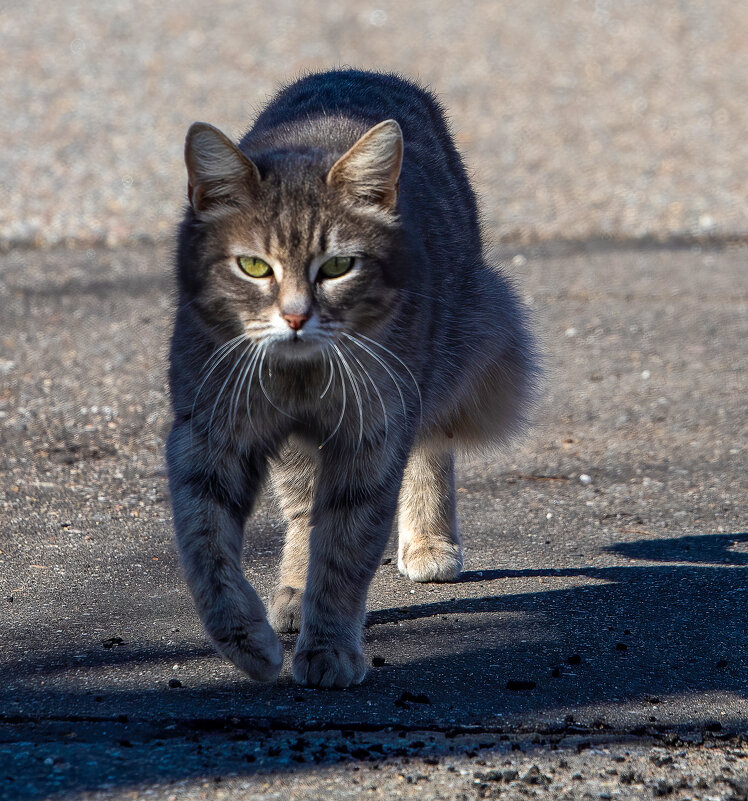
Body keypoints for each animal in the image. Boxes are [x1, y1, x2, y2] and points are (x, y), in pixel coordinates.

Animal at [168, 67, 536, 688]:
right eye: (254, 266)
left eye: (338, 266)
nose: (295, 317)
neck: (300, 371)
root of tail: (358, 72)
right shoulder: (207, 432)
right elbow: (207, 547)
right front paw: (245, 638)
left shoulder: (374, 433)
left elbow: (344, 550)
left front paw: (330, 647)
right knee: (300, 510)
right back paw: (293, 591)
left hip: (449, 353)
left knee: (431, 441)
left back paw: (429, 539)